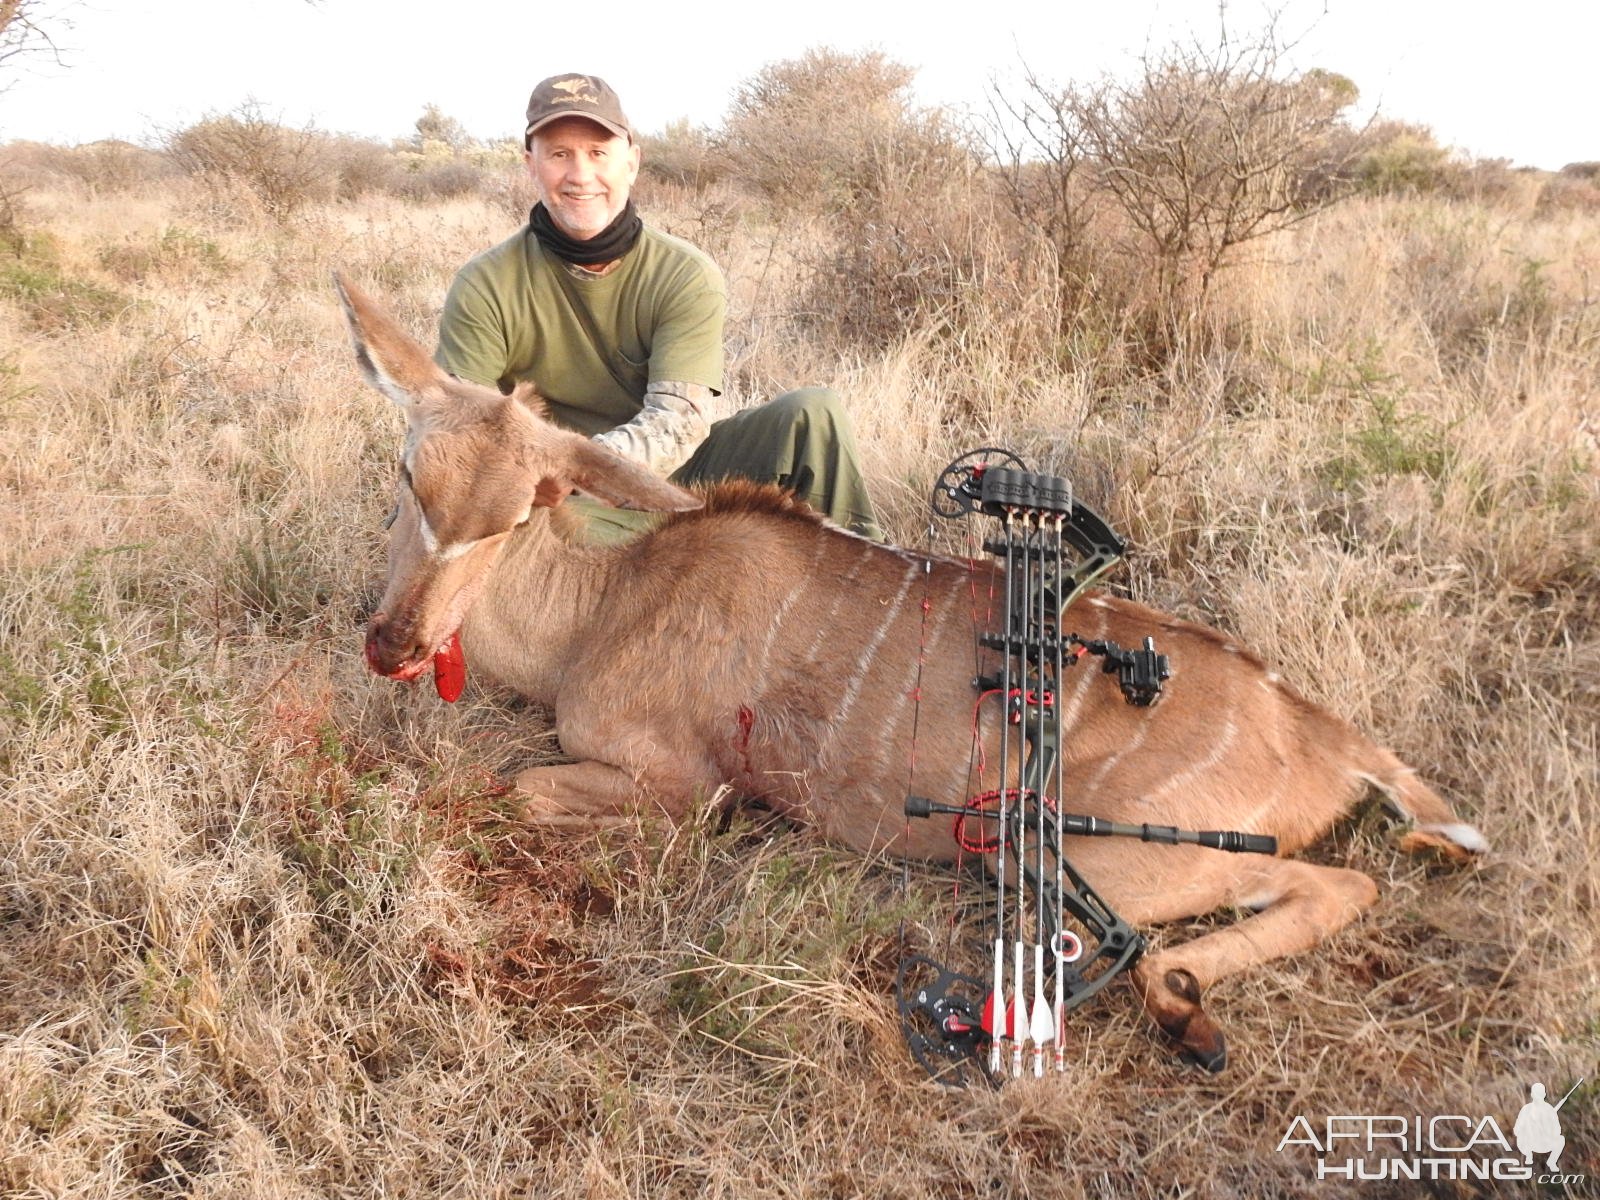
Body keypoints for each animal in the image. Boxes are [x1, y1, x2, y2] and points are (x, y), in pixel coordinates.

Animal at [340, 280, 1484, 1068]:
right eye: (407, 474)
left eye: (514, 514)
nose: (394, 643)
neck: (600, 609)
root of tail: (1314, 731)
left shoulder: (681, 792)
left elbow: (507, 788)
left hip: (1078, 860)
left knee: (1325, 886)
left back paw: (1182, 1006)